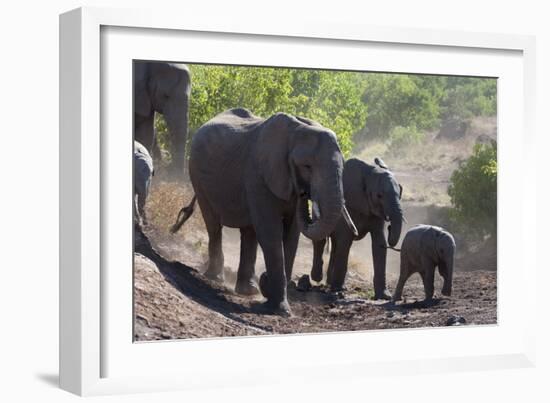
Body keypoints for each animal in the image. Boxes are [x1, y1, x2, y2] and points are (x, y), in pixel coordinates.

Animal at [172, 109, 358, 318]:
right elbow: (270, 231)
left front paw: (270, 293)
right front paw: (280, 310)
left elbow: (291, 235)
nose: (304, 193)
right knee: (214, 225)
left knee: (249, 232)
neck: (296, 131)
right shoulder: (259, 175)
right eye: (306, 166)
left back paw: (248, 290)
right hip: (197, 175)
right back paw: (215, 278)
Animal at [310, 158, 406, 300]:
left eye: (400, 193)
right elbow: (345, 241)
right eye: (379, 195)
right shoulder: (349, 204)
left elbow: (379, 243)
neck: (369, 172)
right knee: (321, 240)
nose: (389, 226)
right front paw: (338, 291)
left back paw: (330, 283)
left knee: (335, 245)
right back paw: (318, 279)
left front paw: (384, 296)